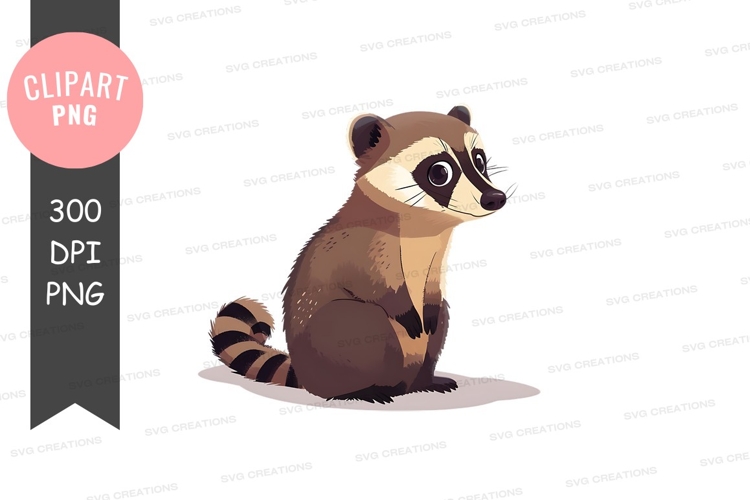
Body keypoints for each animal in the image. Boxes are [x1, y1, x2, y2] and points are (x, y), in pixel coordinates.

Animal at [208, 105, 508, 403]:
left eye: (480, 162)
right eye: (439, 172)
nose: (495, 198)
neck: (424, 227)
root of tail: (306, 376)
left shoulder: (437, 252)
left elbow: (434, 289)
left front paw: (431, 304)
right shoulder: (363, 242)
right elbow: (370, 282)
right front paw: (399, 303)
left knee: (440, 317)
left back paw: (423, 381)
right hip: (333, 339)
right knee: (362, 318)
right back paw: (362, 389)